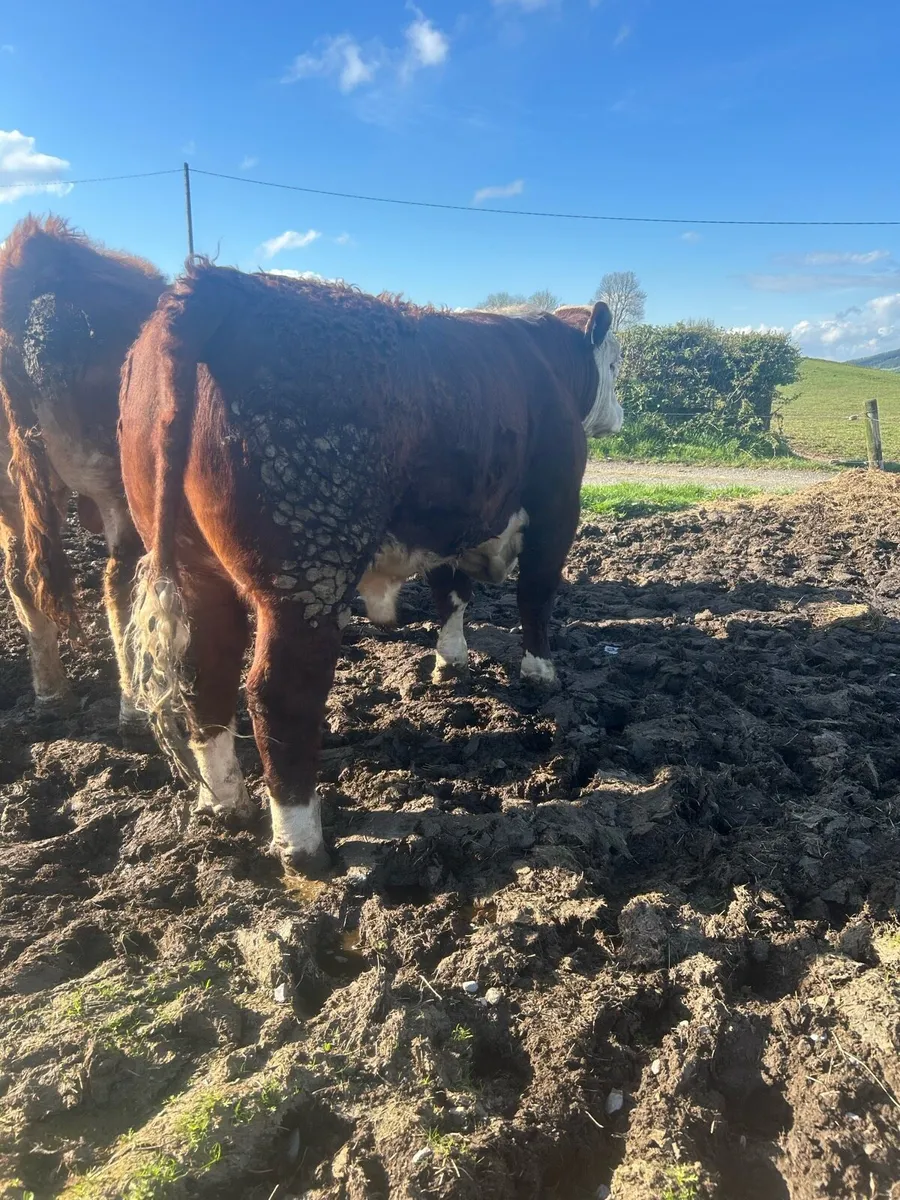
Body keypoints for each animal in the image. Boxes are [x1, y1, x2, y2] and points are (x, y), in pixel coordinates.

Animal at [0, 215, 166, 726]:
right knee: (121, 582)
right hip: (118, 485)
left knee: (20, 576)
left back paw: (51, 695)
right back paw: (134, 710)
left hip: (10, 492)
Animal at [121, 261, 622, 873]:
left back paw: (224, 805)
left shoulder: (448, 522)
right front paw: (540, 673)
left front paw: (450, 663)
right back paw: (303, 844)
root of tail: (213, 285)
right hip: (308, 576)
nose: (621, 413)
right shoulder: (557, 507)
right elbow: (537, 593)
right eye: (616, 362)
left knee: (205, 673)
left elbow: (450, 592)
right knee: (280, 693)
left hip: (198, 570)